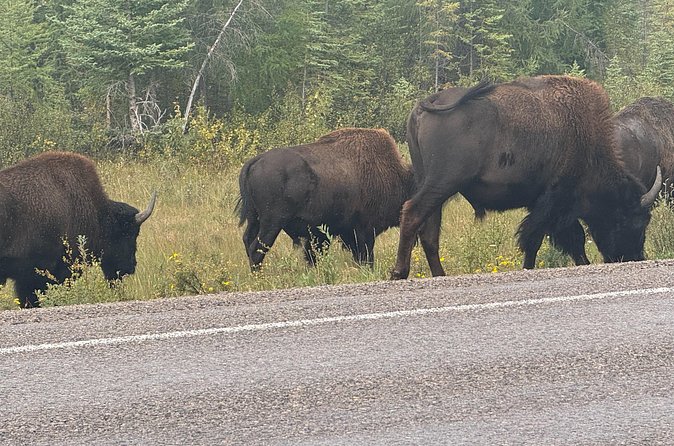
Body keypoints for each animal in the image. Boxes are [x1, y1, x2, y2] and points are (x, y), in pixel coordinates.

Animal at [237, 127, 415, 270]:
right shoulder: (364, 230)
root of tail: (255, 161)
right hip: (272, 223)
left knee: (247, 240)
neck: (398, 176)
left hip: (255, 219)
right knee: (256, 249)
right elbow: (366, 256)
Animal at [391, 75, 661, 280]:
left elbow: (564, 239)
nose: (632, 257)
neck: (585, 140)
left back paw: (439, 274)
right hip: (442, 183)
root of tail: (431, 101)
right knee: (413, 213)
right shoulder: (553, 201)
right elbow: (540, 238)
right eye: (629, 220)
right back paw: (399, 273)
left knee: (429, 230)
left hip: (434, 185)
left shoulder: (546, 204)